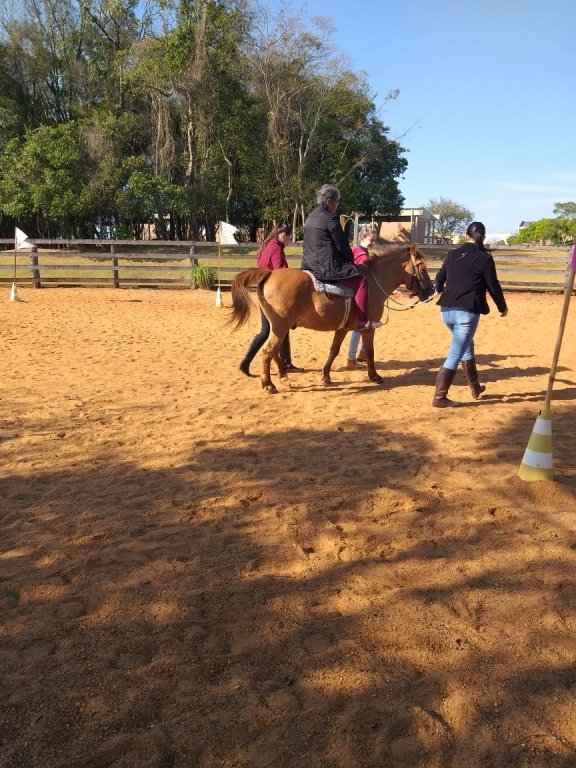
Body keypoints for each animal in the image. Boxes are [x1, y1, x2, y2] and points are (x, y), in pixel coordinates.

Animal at [227, 244, 434, 392]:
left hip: (277, 327)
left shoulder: (343, 329)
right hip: (280, 327)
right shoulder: (368, 328)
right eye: (423, 269)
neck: (374, 284)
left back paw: (283, 376)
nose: (431, 292)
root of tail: (269, 273)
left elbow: (333, 350)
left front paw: (325, 375)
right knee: (268, 351)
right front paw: (374, 376)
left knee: (273, 351)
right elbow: (370, 351)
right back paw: (269, 384)